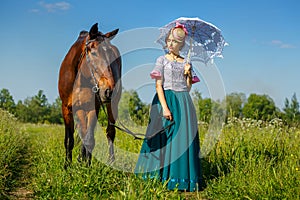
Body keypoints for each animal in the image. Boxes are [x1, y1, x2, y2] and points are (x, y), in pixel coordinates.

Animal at [58, 23, 121, 167]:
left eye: (111, 55)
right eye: (93, 52)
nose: (109, 90)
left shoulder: (93, 107)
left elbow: (90, 139)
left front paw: (87, 166)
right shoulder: (67, 108)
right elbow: (70, 139)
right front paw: (67, 166)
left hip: (111, 105)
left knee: (110, 132)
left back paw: (111, 162)